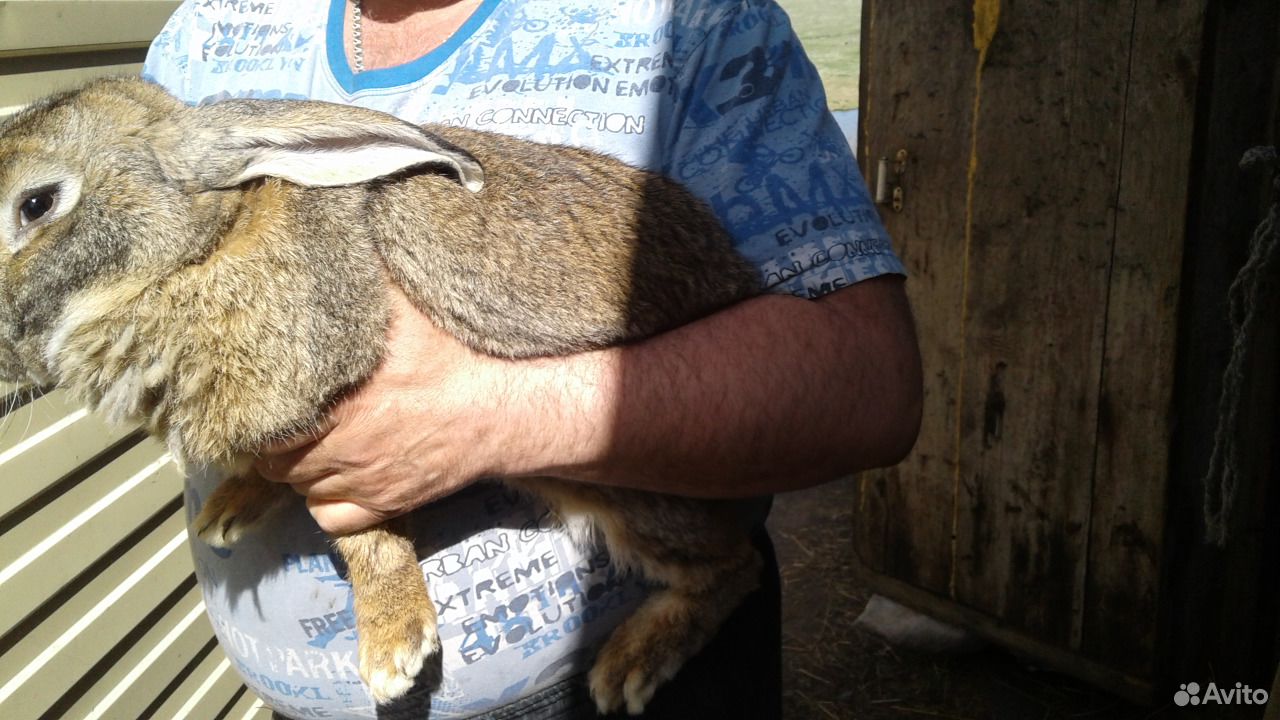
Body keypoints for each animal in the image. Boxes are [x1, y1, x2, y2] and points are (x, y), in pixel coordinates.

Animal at [0, 78, 762, 712]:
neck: (199, 249)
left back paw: (630, 666)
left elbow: (360, 532)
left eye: (37, 203)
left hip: (632, 486)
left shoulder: (337, 408)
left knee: (734, 565)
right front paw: (229, 509)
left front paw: (394, 646)